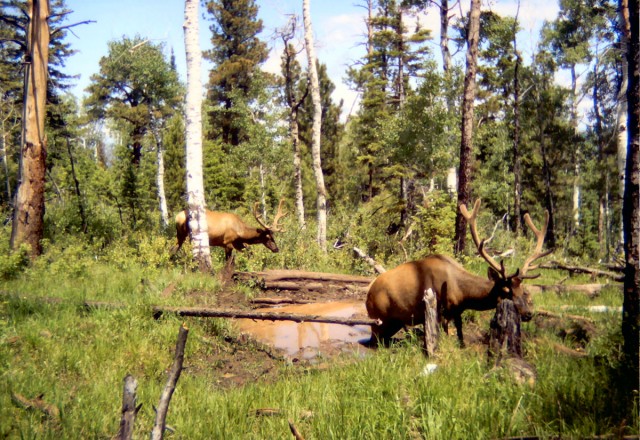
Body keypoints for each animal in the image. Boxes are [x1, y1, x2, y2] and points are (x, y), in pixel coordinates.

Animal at [364, 199, 552, 348]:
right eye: (506, 290)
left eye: (523, 290)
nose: (528, 313)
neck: (462, 292)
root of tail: (368, 295)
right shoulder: (443, 312)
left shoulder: (457, 312)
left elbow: (461, 337)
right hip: (378, 319)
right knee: (374, 341)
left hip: (394, 323)